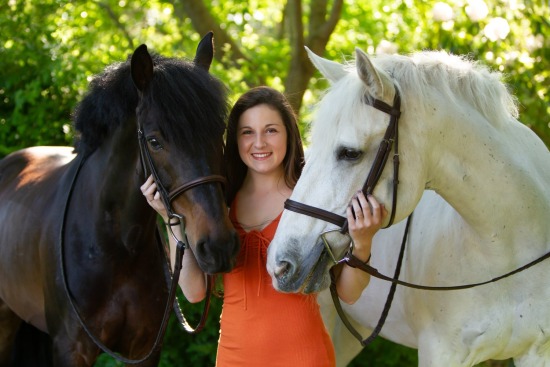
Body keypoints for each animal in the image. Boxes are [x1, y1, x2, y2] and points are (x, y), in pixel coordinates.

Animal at [0, 33, 239, 366]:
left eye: (219, 133)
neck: (118, 245)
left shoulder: (146, 348)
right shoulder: (71, 349)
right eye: (154, 141)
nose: (219, 246)